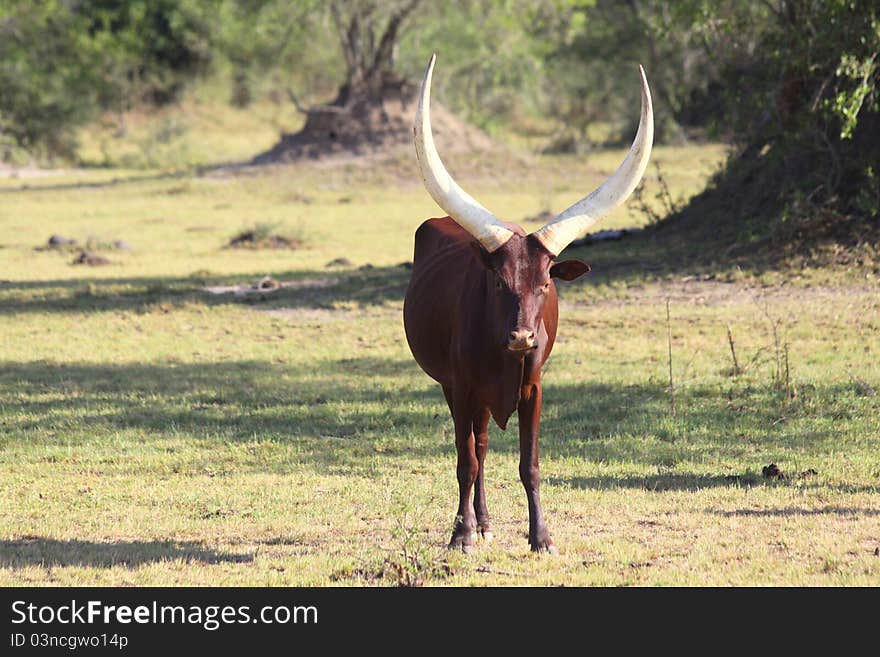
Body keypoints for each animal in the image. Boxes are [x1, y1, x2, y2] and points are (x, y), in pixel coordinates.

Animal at [406, 53, 652, 552]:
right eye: (499, 282)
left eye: (544, 284)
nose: (521, 337)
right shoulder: (461, 386)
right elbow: (465, 461)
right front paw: (460, 535)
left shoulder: (534, 388)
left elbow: (529, 464)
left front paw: (541, 536)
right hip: (456, 389)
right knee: (475, 449)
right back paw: (475, 524)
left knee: (483, 444)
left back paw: (485, 522)